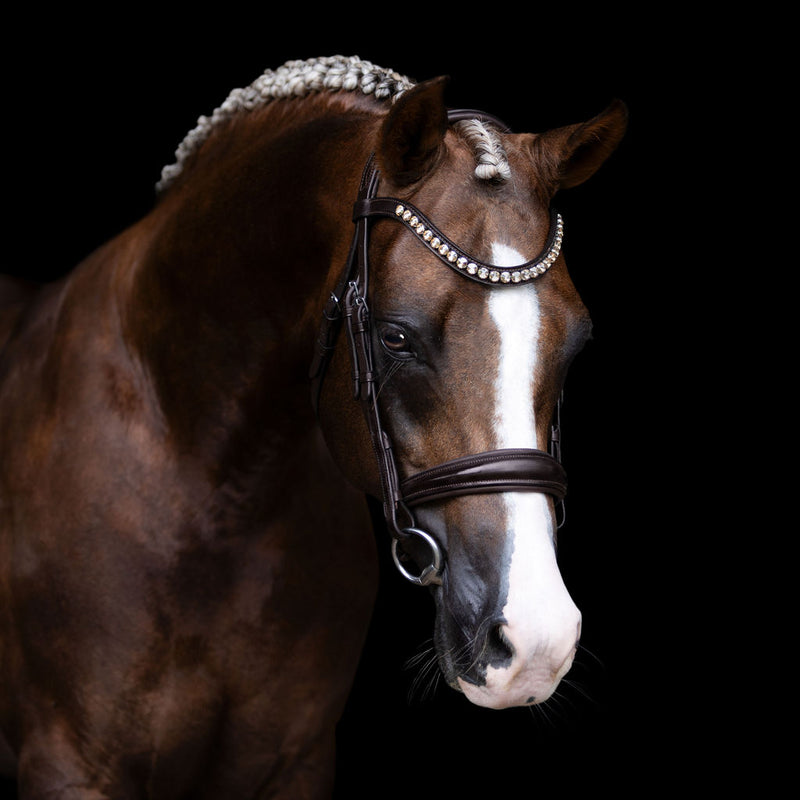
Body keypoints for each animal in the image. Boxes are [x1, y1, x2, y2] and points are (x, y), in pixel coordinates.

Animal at [0, 53, 624, 796]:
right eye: (394, 337)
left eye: (577, 344)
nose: (534, 641)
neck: (215, 494)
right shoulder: (70, 766)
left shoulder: (294, 762)